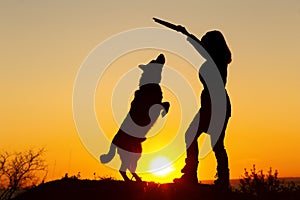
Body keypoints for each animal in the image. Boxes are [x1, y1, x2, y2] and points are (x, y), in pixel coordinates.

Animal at [100, 54, 170, 182]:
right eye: (153, 61)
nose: (161, 54)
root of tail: (114, 141)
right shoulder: (154, 105)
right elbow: (166, 103)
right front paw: (164, 112)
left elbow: (166, 102)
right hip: (131, 154)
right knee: (123, 169)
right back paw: (132, 180)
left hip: (136, 153)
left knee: (128, 168)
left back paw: (137, 179)